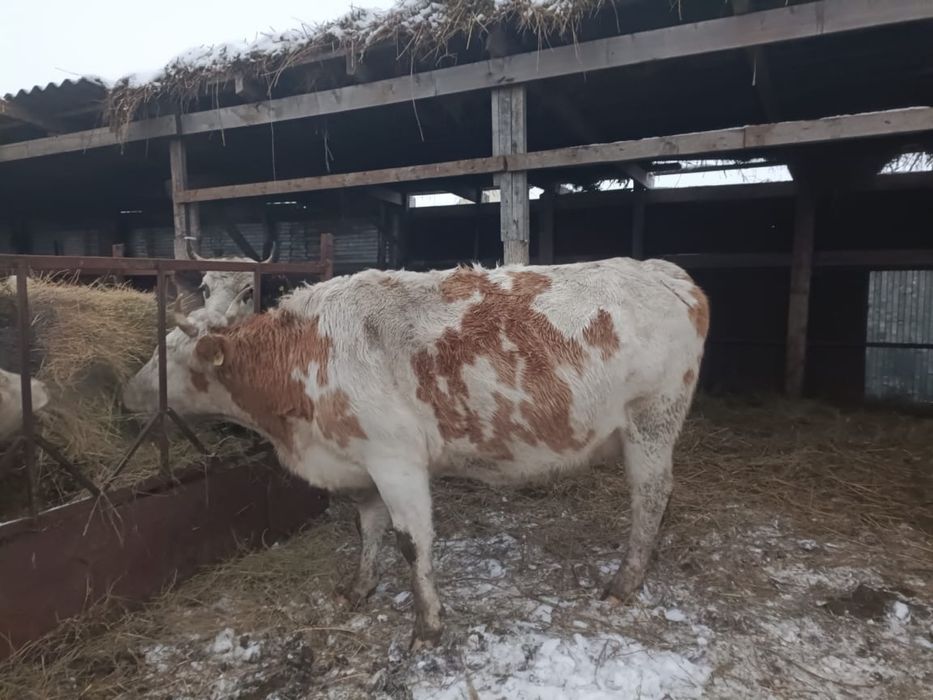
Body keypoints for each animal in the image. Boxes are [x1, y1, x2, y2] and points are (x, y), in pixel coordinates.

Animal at [122, 258, 709, 648]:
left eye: (172, 358)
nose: (126, 396)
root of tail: (664, 270)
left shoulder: (395, 459)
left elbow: (411, 541)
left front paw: (427, 623)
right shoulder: (358, 460)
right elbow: (368, 529)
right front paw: (359, 588)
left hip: (651, 421)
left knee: (650, 496)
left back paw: (625, 582)